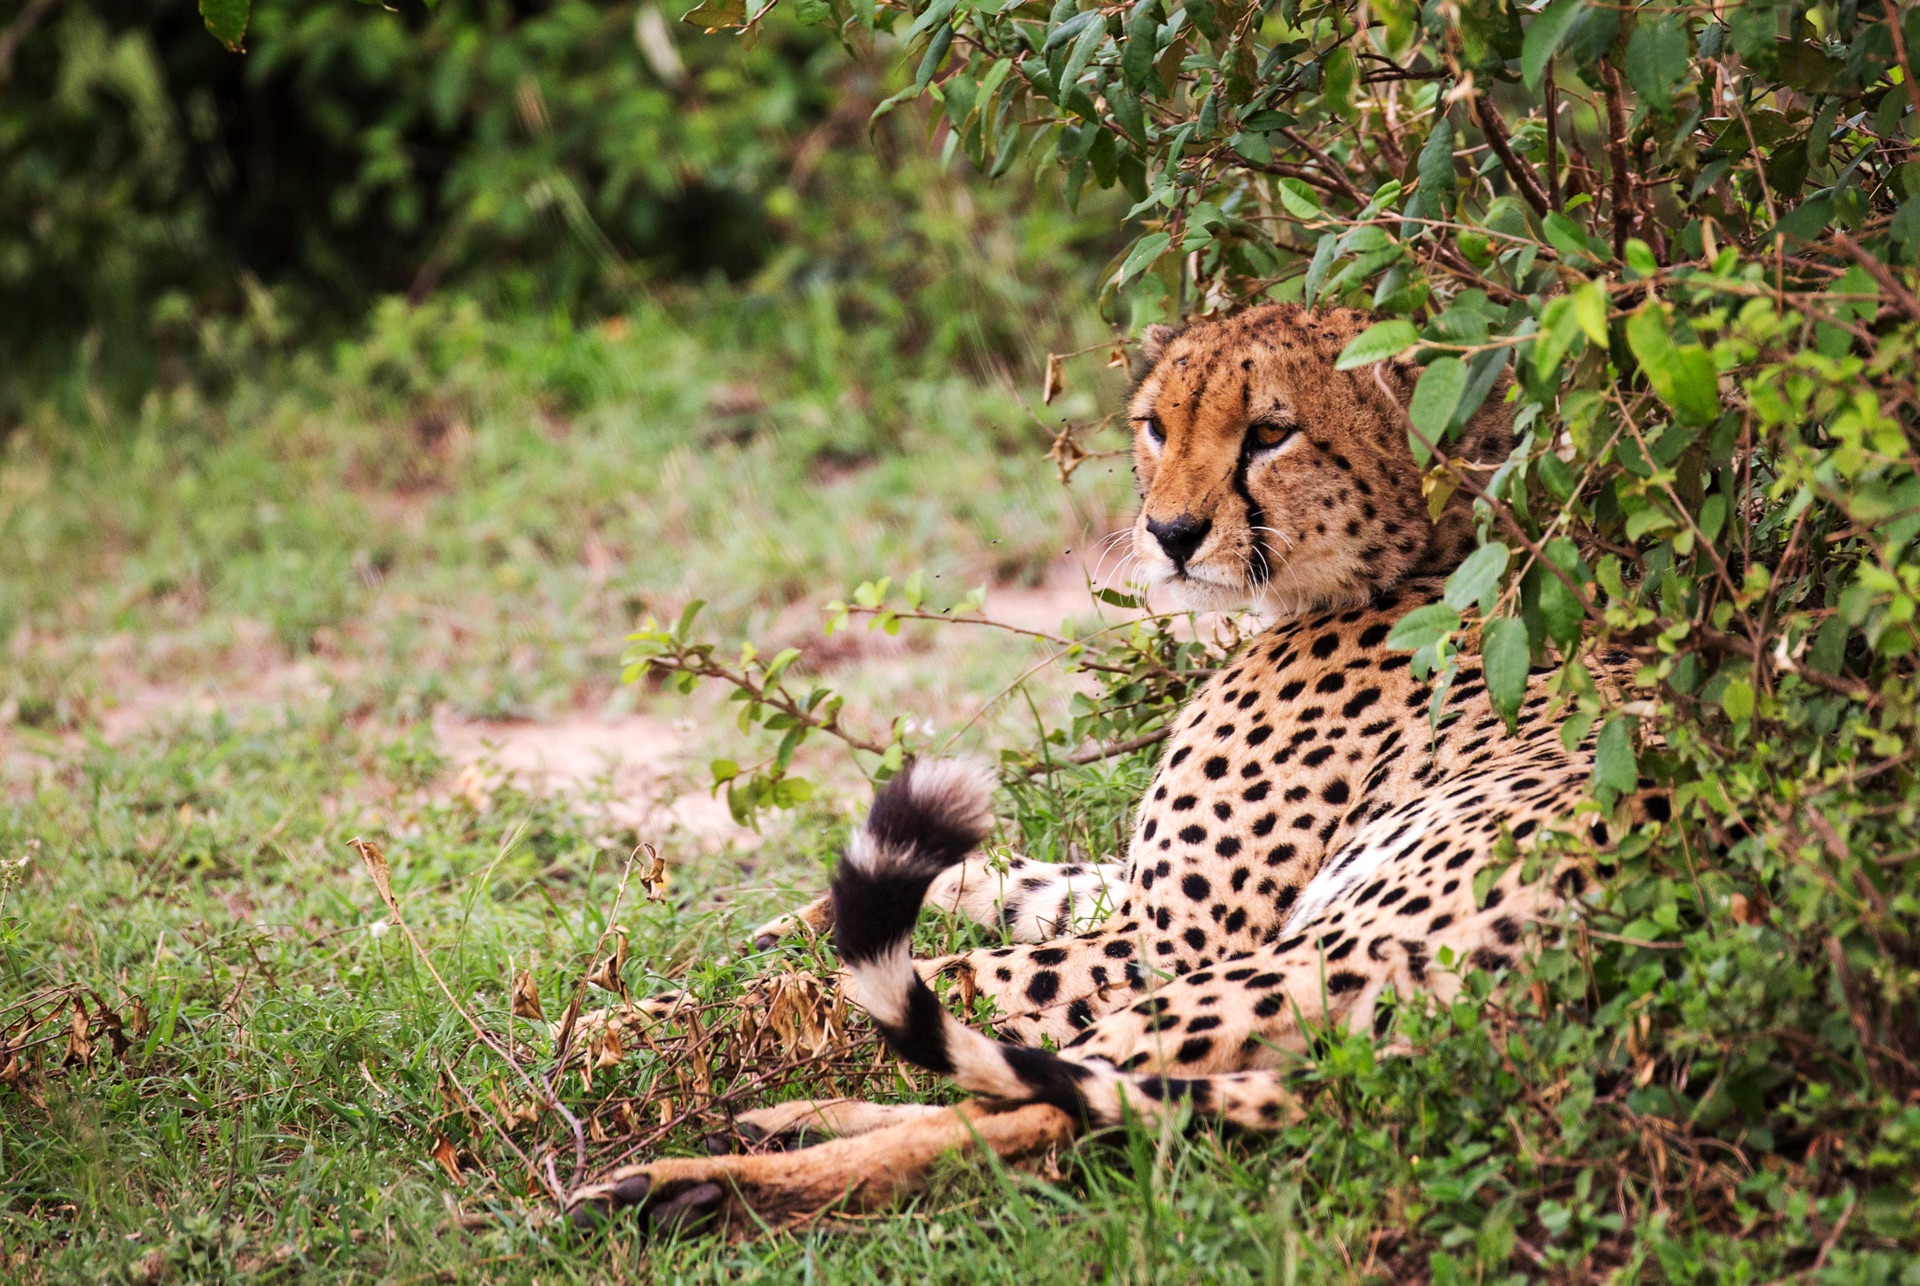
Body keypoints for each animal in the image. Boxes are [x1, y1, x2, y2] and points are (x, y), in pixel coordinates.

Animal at [568, 309, 1620, 1236]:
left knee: (1042, 1111)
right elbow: (1007, 877)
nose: (1172, 533)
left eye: (1271, 433)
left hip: (1293, 965)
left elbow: (906, 980)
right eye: (1157, 426)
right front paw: (783, 924)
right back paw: (782, 1127)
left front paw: (630, 1026)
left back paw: (699, 1184)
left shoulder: (1178, 941)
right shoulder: (1139, 896)